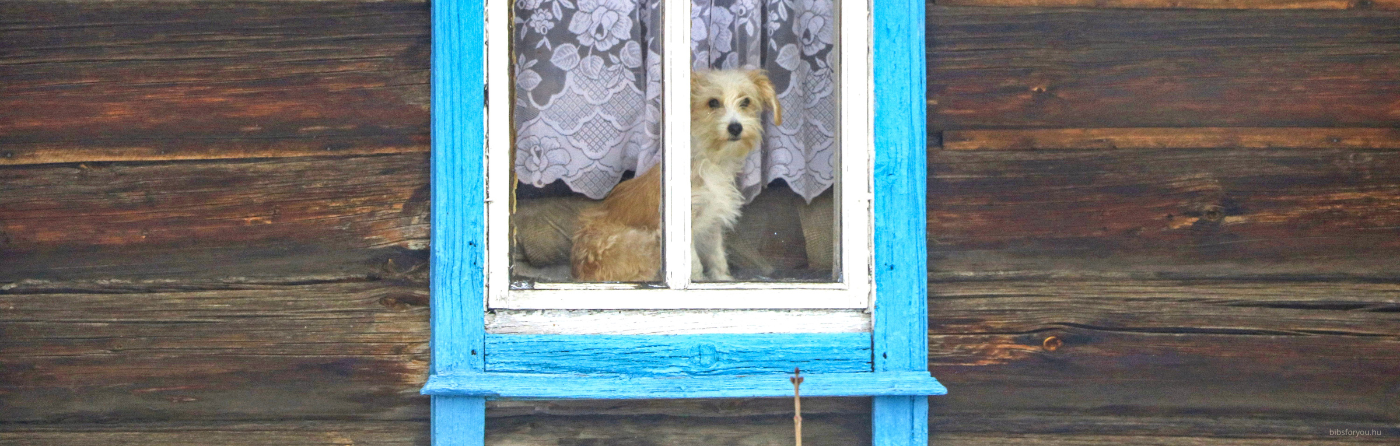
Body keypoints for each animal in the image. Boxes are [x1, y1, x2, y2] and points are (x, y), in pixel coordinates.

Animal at [571, 68, 784, 281]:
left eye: (746, 101)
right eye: (713, 102)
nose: (735, 127)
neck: (711, 162)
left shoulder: (712, 223)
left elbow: (717, 258)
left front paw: (722, 280)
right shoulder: (683, 226)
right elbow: (694, 265)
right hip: (649, 243)